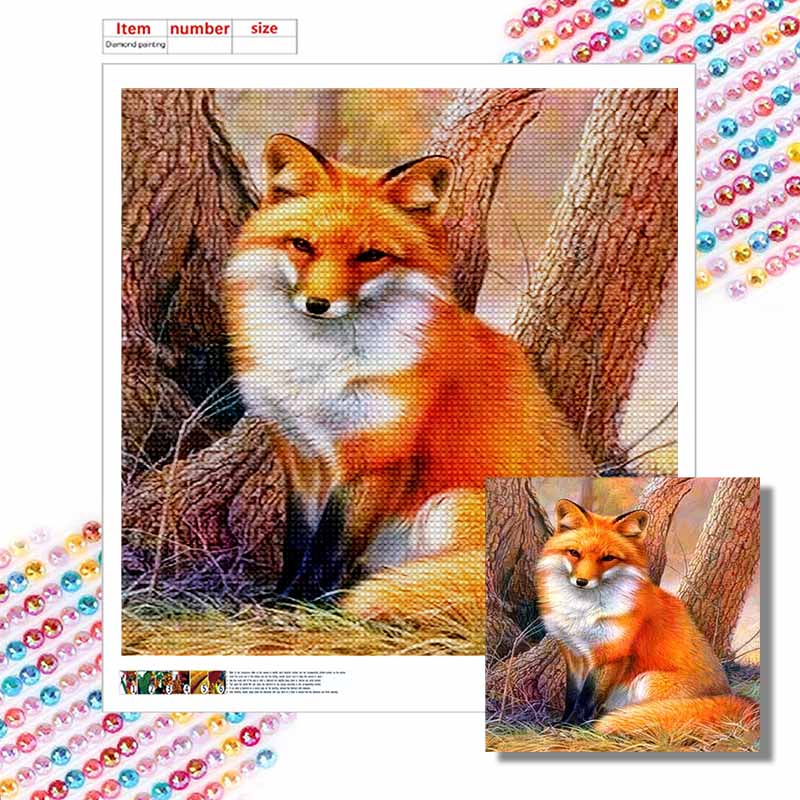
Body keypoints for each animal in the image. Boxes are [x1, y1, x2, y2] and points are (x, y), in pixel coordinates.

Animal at [222, 133, 593, 622]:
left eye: (370, 256)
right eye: (302, 245)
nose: (317, 304)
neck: (318, 367)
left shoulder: (379, 457)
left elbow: (328, 548)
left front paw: (301, 606)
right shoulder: (300, 455)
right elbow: (298, 541)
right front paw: (281, 595)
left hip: (448, 507)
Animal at [536, 499, 759, 738]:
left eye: (608, 558)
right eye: (574, 553)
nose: (581, 582)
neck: (582, 612)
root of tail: (729, 694)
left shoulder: (611, 654)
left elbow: (587, 698)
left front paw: (574, 727)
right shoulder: (573, 653)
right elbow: (572, 696)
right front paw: (563, 722)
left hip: (647, 681)